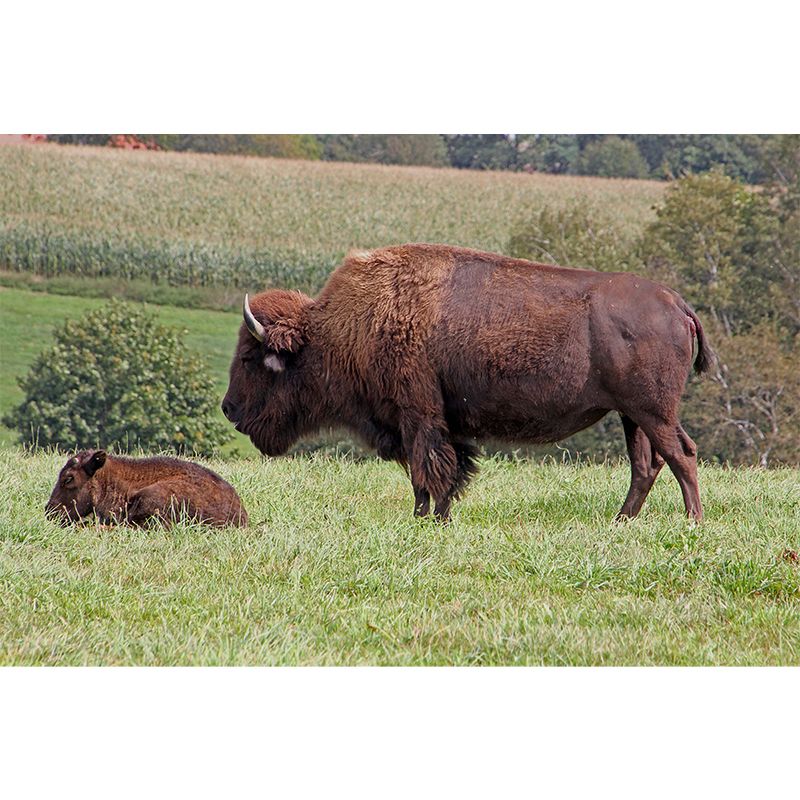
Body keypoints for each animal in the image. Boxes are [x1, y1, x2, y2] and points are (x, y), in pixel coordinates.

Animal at [223, 244, 712, 521]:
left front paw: (424, 519)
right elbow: (449, 468)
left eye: (250, 358)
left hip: (652, 411)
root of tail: (677, 303)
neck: (348, 325)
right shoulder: (438, 423)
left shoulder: (417, 415)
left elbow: (427, 469)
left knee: (681, 455)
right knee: (647, 464)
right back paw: (620, 522)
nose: (228, 408)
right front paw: (435, 516)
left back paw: (691, 522)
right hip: (633, 415)